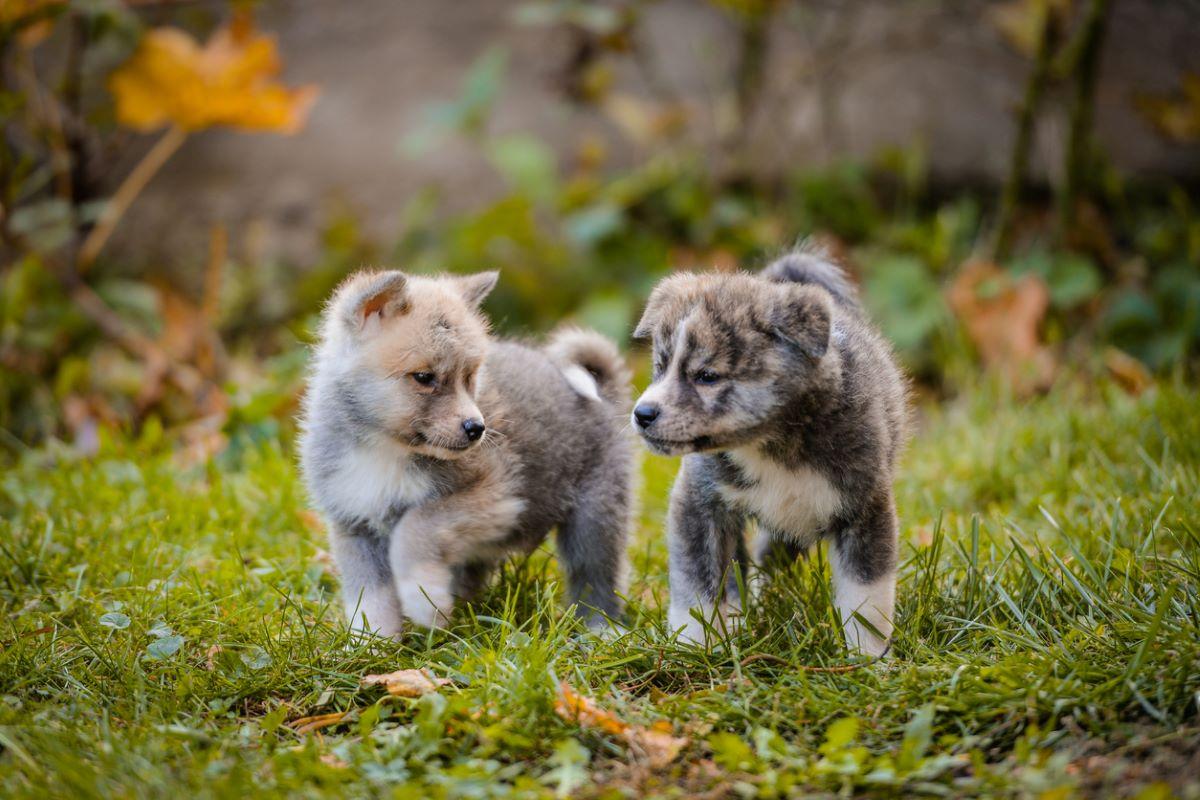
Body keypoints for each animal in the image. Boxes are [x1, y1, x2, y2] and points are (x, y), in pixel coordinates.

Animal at [300, 271, 638, 638]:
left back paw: (601, 631)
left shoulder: (493, 497)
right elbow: (370, 599)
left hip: (594, 519)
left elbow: (413, 530)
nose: (477, 428)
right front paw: (371, 643)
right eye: (424, 377)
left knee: (596, 578)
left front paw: (425, 600)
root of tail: (607, 394)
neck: (385, 449)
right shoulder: (353, 523)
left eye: (470, 376)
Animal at [633, 247, 902, 652]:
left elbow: (865, 599)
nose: (642, 414)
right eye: (660, 368)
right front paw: (694, 647)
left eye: (707, 376)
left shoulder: (864, 509)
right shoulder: (699, 504)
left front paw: (866, 657)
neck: (769, 444)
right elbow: (698, 588)